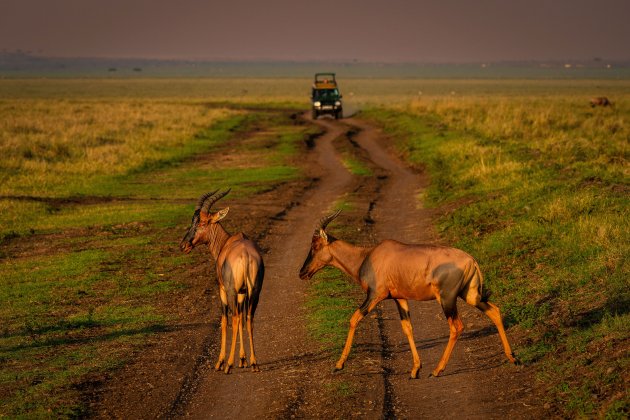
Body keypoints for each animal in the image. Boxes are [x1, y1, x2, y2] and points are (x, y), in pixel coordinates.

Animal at [180, 189, 264, 372]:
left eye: (202, 223)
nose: (183, 246)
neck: (227, 242)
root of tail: (245, 255)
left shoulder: (222, 290)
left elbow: (225, 321)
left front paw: (221, 362)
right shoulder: (242, 292)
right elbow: (242, 319)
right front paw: (243, 359)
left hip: (231, 291)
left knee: (234, 318)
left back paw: (228, 365)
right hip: (255, 292)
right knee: (248, 318)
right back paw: (254, 363)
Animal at [302, 210, 520, 378]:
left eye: (315, 245)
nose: (302, 272)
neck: (369, 256)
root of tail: (471, 260)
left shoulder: (374, 296)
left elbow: (354, 319)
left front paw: (339, 365)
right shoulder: (399, 298)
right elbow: (407, 328)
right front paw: (415, 370)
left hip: (447, 299)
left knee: (457, 327)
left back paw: (437, 370)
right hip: (470, 295)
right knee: (494, 311)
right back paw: (512, 358)